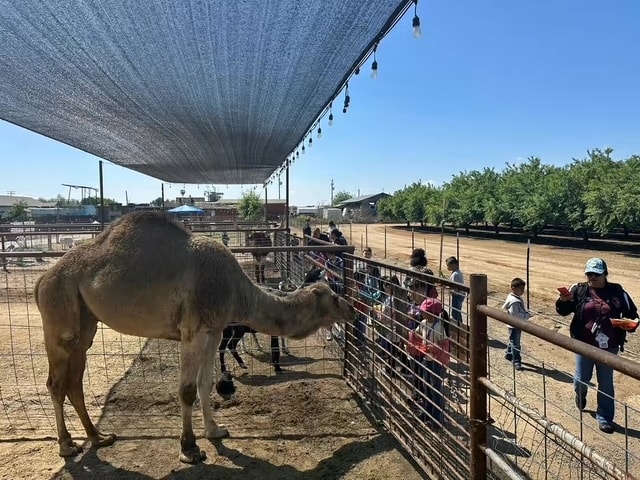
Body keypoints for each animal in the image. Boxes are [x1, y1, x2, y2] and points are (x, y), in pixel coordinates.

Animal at [34, 211, 354, 464]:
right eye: (334, 296)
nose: (352, 310)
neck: (237, 290)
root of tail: (41, 280)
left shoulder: (213, 330)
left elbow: (205, 383)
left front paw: (215, 430)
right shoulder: (192, 331)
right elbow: (187, 389)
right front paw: (190, 449)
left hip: (85, 322)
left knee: (74, 381)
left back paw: (98, 437)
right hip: (58, 311)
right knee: (55, 383)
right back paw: (67, 445)